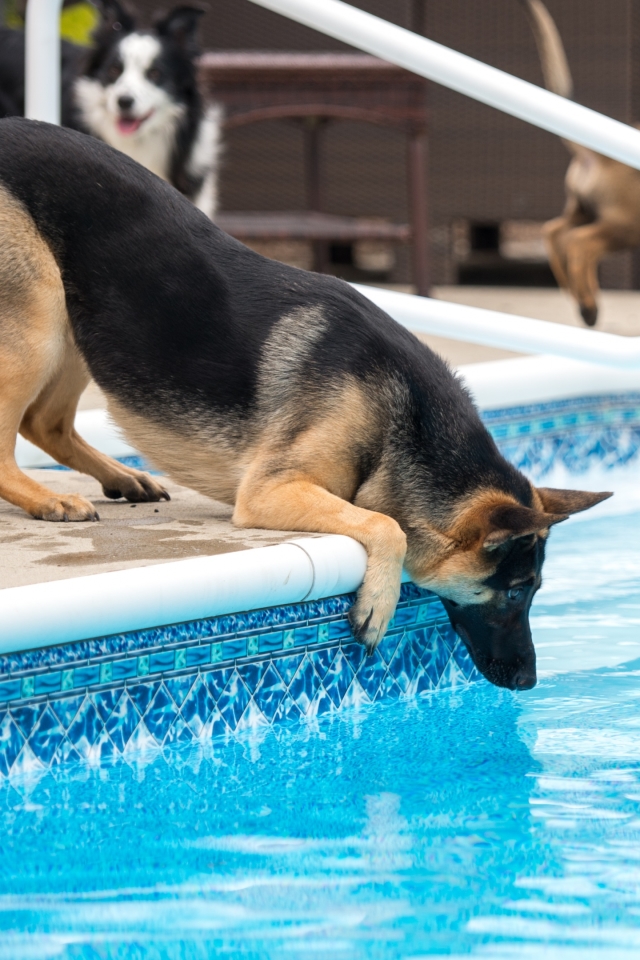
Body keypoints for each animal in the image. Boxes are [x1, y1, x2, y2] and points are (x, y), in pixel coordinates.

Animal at [0, 120, 608, 688]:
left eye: (535, 592)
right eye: (516, 594)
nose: (529, 681)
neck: (403, 420)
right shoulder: (272, 491)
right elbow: (386, 523)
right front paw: (378, 602)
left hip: (81, 321)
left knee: (46, 423)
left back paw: (122, 477)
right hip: (39, 320)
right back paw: (45, 499)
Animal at [524, 0, 640, 326]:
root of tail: (598, 152)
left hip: (584, 210)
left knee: (554, 232)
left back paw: (576, 297)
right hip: (625, 224)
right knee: (579, 243)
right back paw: (589, 306)